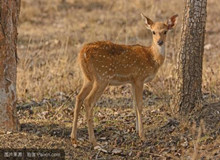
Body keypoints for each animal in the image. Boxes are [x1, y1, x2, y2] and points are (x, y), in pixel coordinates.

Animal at [71, 13, 178, 147]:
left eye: (165, 31)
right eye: (153, 32)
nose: (160, 42)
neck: (152, 58)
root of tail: (82, 53)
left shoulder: (132, 81)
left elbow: (134, 104)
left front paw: (137, 130)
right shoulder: (139, 77)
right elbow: (140, 105)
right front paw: (142, 136)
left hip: (88, 78)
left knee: (79, 97)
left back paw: (74, 138)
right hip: (102, 77)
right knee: (88, 101)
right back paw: (93, 141)